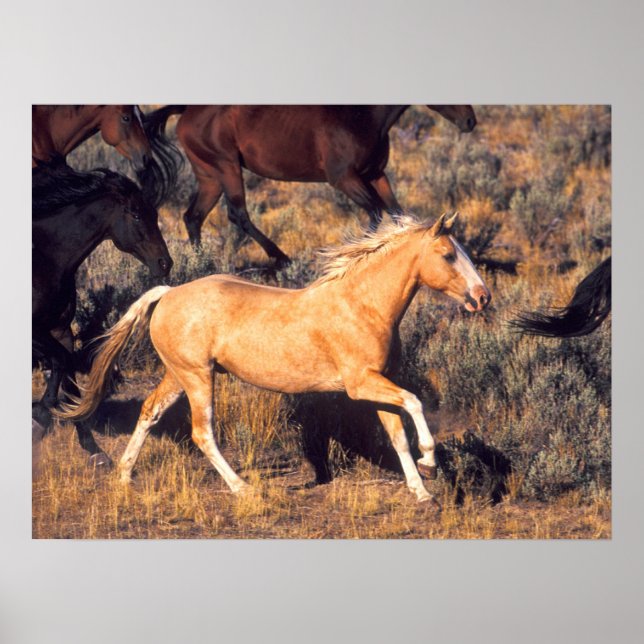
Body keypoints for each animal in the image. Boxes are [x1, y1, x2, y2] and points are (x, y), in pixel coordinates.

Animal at [33, 157, 173, 464]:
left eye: (154, 214)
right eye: (135, 214)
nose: (165, 263)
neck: (44, 258)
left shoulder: (60, 330)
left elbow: (69, 377)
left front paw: (94, 450)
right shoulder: (36, 332)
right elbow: (61, 364)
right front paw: (39, 418)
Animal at [58, 213, 491, 503]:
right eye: (448, 255)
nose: (483, 297)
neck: (363, 305)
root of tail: (167, 293)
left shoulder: (378, 382)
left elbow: (398, 435)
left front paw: (422, 491)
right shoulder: (361, 383)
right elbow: (415, 404)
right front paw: (430, 463)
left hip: (179, 375)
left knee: (149, 412)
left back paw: (124, 477)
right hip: (198, 378)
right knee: (202, 432)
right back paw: (242, 488)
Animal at [142, 105, 477, 266]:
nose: (470, 121)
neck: (362, 117)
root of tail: (187, 110)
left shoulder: (376, 175)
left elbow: (397, 214)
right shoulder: (345, 179)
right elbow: (376, 215)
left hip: (210, 175)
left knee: (193, 216)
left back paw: (204, 266)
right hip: (227, 168)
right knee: (237, 214)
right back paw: (282, 259)